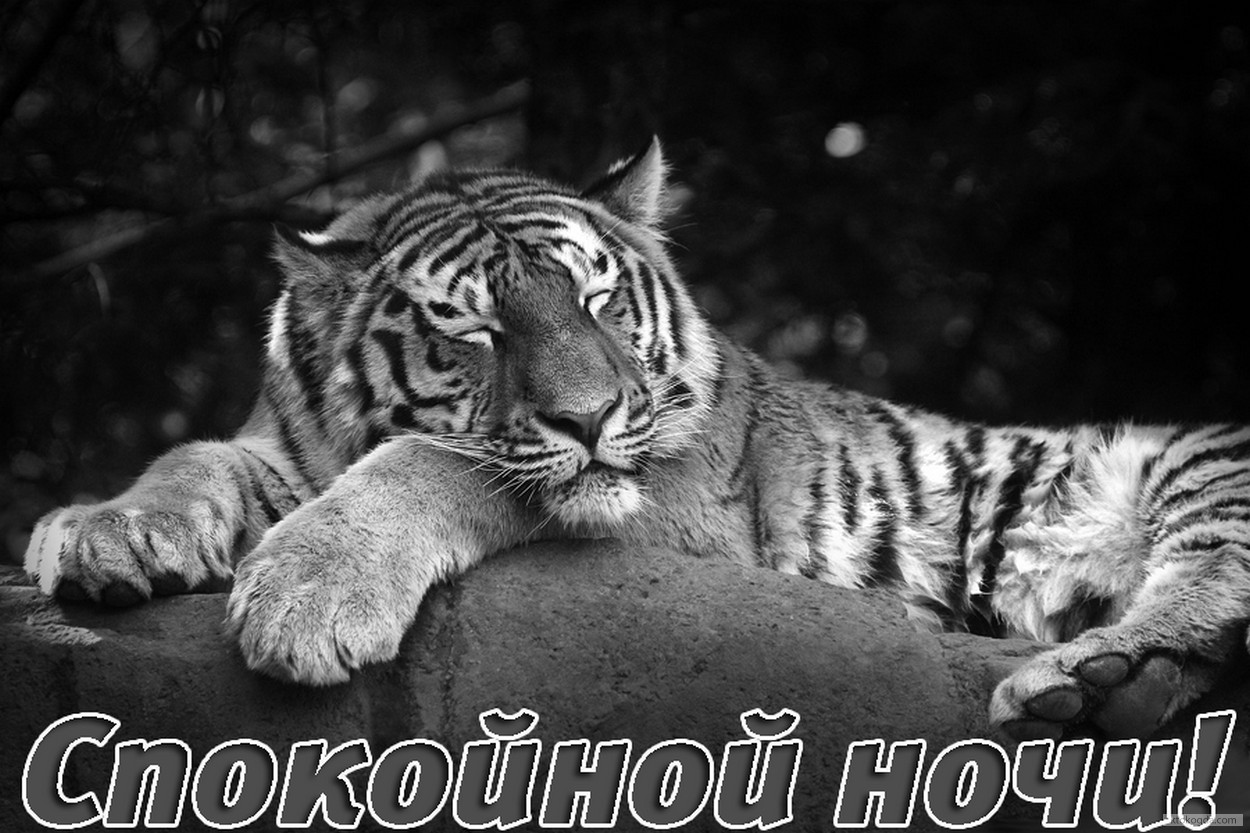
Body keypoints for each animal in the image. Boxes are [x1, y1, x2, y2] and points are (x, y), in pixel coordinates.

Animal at [23, 138, 1250, 741]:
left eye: (599, 300)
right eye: (476, 329)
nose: (592, 416)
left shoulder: (687, 509)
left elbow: (439, 462)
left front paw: (309, 592)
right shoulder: (277, 445)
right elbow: (193, 457)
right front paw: (101, 534)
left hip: (1192, 462)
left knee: (1213, 570)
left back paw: (1090, 677)